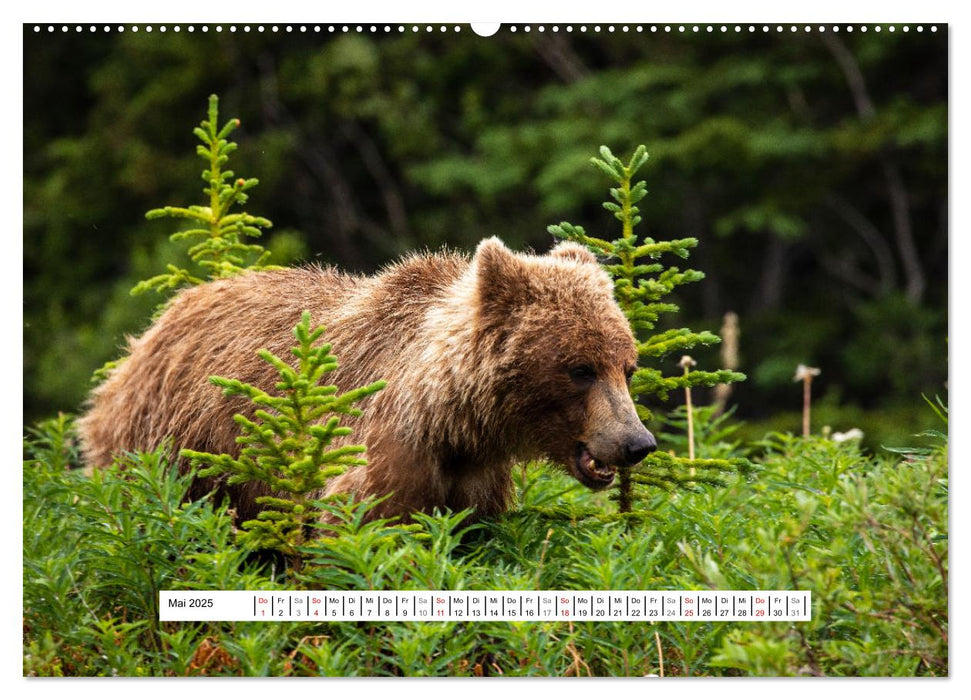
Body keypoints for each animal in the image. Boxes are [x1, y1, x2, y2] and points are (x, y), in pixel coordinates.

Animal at [76, 239, 652, 520]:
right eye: (580, 369)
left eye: (627, 366)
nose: (637, 442)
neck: (449, 420)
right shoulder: (382, 456)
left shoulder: (476, 481)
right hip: (171, 450)